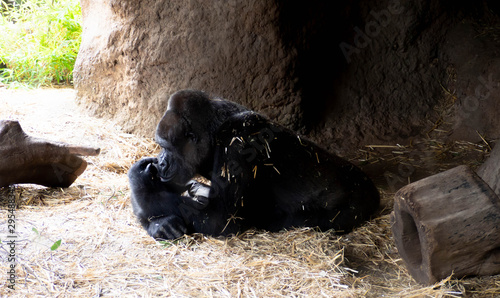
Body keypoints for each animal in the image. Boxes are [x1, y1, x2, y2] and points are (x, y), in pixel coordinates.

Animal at [128, 89, 378, 240]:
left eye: (166, 147)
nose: (161, 162)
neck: (214, 132)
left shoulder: (239, 141)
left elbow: (220, 219)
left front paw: (142, 188)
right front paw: (158, 222)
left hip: (355, 204)